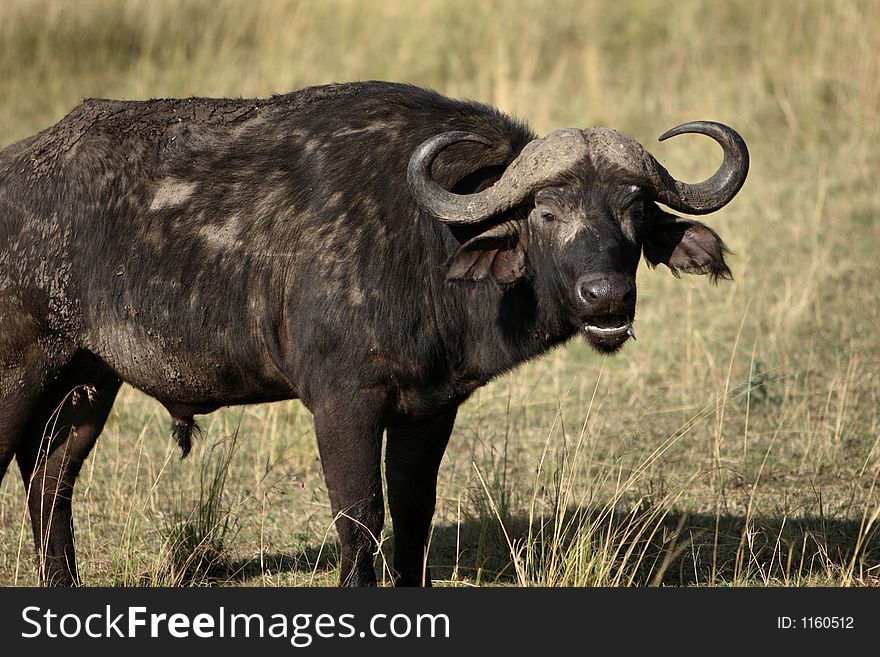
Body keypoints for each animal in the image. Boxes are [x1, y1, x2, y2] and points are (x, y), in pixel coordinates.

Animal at [0, 80, 748, 584]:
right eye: (547, 212)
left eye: (634, 208)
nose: (607, 295)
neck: (424, 240)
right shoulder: (344, 405)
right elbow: (360, 522)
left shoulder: (430, 408)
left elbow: (414, 515)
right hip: (21, 373)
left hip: (86, 382)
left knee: (49, 483)